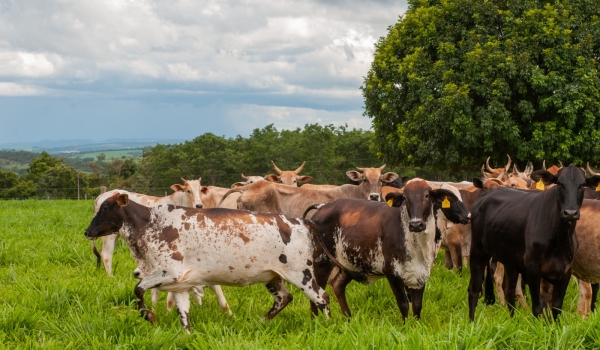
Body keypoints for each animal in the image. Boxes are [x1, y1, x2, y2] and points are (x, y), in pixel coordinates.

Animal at [85, 193, 332, 332]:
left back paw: (329, 326)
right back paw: (260, 322)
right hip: (272, 276)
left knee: (322, 298)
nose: (88, 231)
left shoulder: (168, 272)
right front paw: (186, 335)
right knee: (284, 298)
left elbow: (138, 289)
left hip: (301, 274)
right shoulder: (180, 286)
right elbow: (183, 314)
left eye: (105, 208)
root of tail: (300, 220)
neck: (150, 224)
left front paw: (149, 315)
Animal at [468, 164, 600, 320]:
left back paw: (513, 320)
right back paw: (472, 321)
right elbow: (538, 306)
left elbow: (556, 306)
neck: (559, 238)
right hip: (478, 251)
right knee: (476, 288)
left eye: (582, 185)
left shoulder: (565, 271)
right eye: (559, 184)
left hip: (509, 260)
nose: (570, 213)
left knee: (509, 290)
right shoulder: (532, 268)